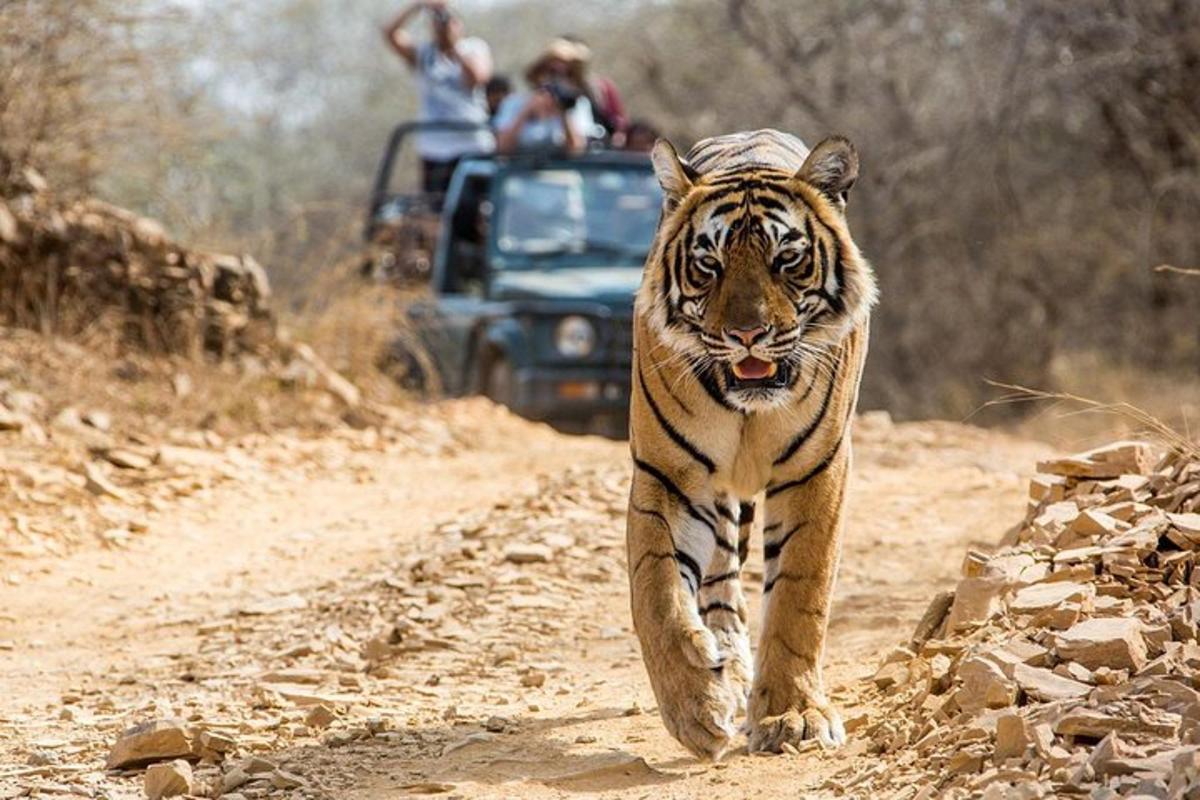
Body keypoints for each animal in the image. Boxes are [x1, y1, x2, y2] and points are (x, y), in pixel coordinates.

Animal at [628, 130, 873, 758]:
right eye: (708, 265)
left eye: (786, 259)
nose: (747, 335)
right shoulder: (668, 475)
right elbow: (657, 592)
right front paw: (695, 706)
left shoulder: (817, 470)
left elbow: (798, 598)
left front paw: (794, 717)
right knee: (719, 583)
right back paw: (727, 666)